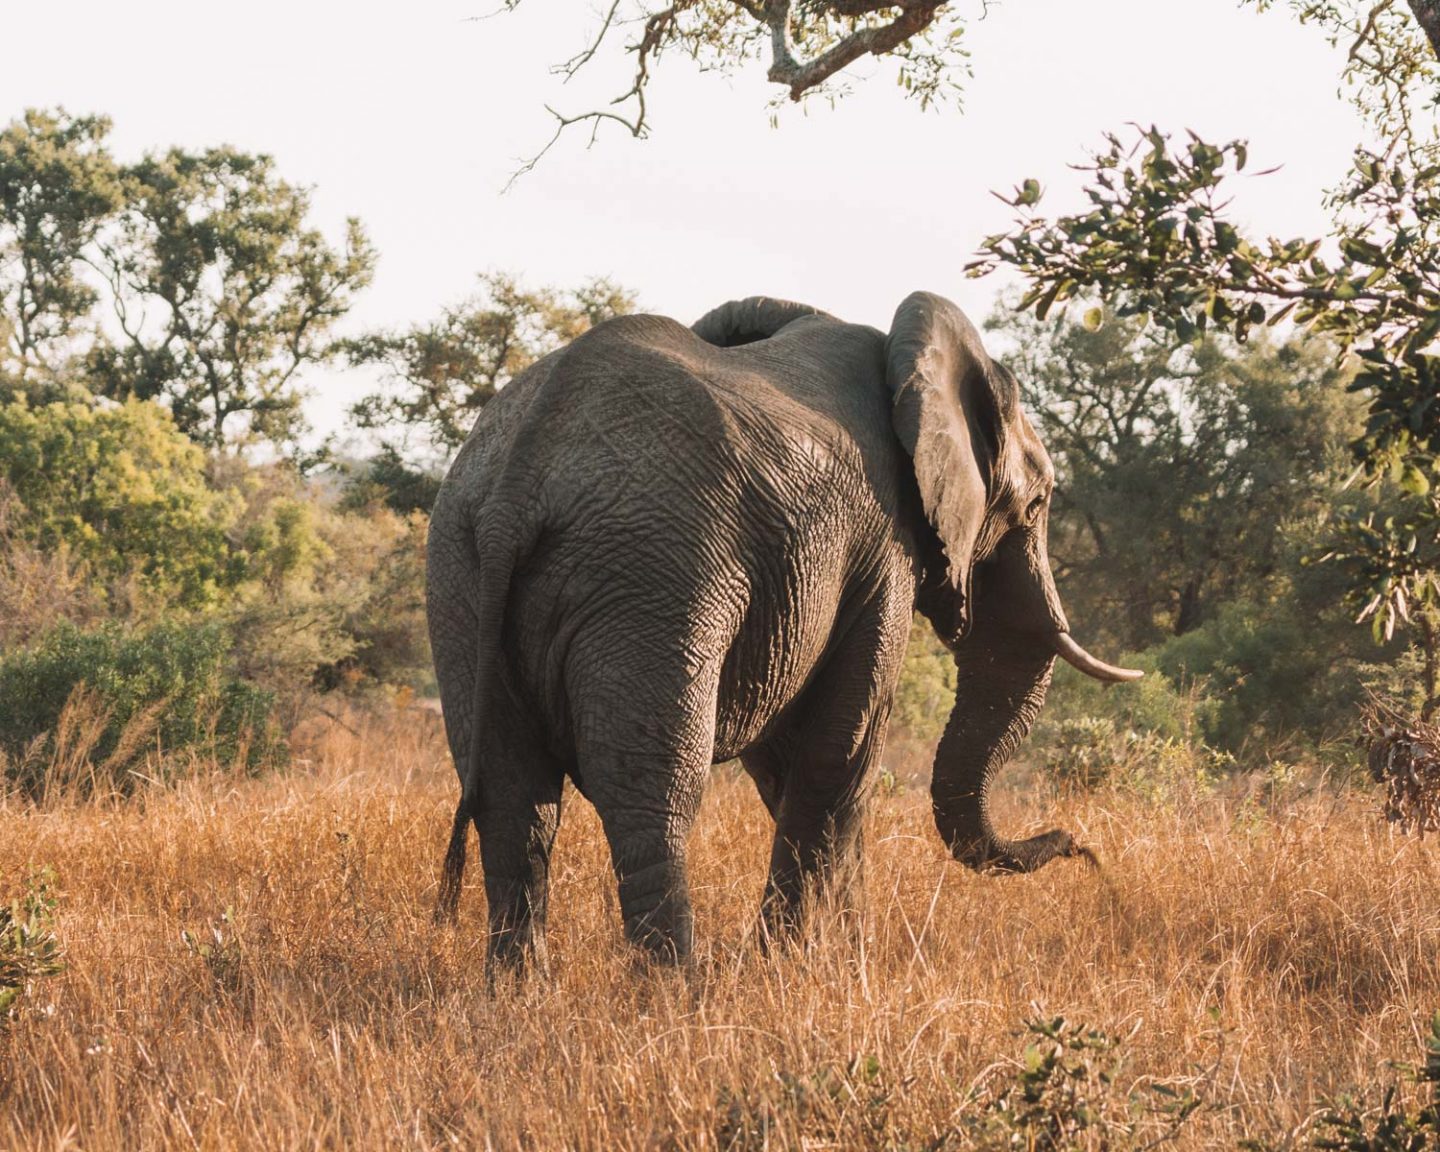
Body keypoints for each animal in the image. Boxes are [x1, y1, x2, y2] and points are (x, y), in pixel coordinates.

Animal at [420, 292, 1140, 967]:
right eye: (1037, 504)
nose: (1079, 847)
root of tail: (516, 487)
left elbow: (784, 759)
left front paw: (833, 956)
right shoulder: (883, 547)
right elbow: (841, 752)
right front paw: (799, 965)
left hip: (459, 577)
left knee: (513, 798)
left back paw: (518, 995)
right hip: (651, 575)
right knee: (653, 795)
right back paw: (678, 991)